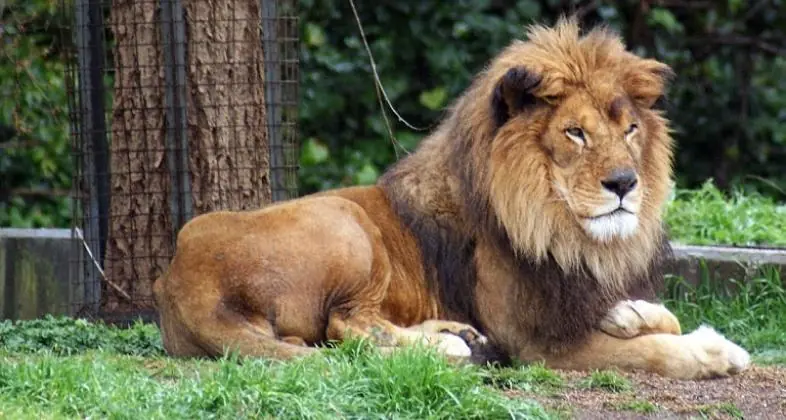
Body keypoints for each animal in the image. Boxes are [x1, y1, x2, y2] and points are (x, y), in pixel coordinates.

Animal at [152, 17, 750, 380]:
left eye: (630, 129)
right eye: (575, 133)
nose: (625, 183)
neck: (561, 229)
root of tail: (180, 279)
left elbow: (662, 318)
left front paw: (631, 313)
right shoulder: (534, 344)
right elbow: (653, 351)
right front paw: (717, 350)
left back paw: (458, 335)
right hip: (346, 220)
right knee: (347, 328)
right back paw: (452, 347)